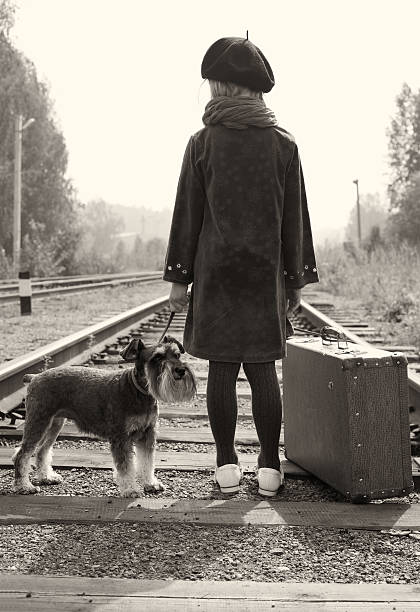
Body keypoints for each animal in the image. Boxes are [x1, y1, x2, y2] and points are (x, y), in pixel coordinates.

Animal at [13, 334, 197, 498]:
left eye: (177, 354)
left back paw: (46, 477)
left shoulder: (148, 433)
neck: (139, 391)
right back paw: (24, 486)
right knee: (22, 454)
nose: (181, 370)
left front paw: (151, 483)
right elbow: (126, 466)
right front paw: (130, 489)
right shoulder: (121, 437)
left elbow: (147, 461)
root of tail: (35, 377)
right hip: (38, 422)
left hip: (54, 424)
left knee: (42, 450)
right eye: (157, 357)